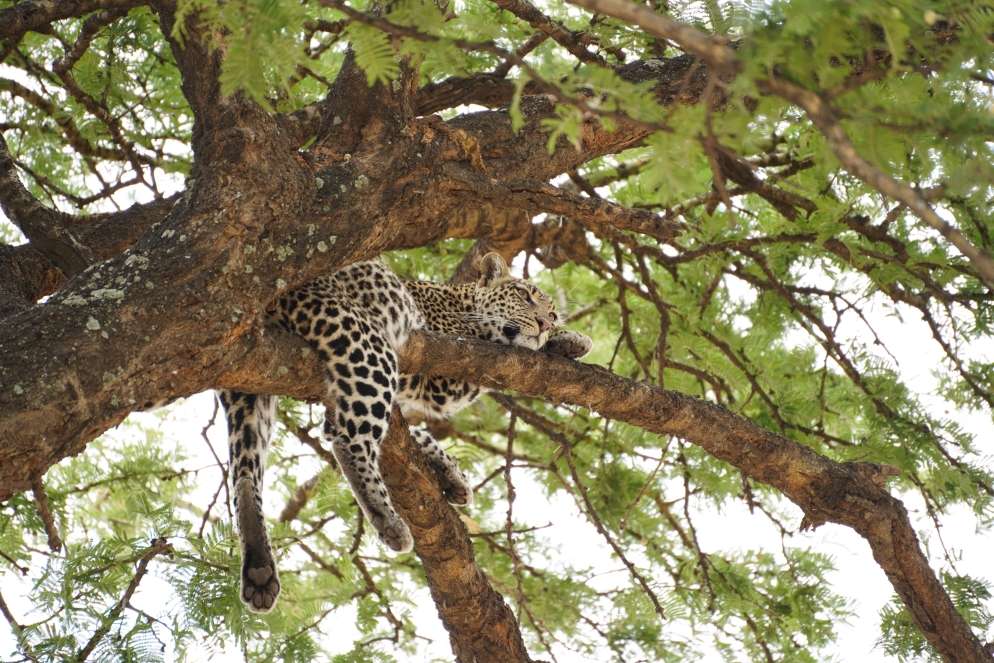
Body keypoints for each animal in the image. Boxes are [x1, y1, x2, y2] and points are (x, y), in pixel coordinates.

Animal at [217, 252, 593, 613]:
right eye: (524, 295)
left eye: (553, 312)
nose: (545, 323)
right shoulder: (448, 370)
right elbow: (502, 343)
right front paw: (569, 339)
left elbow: (411, 433)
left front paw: (449, 473)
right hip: (366, 342)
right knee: (349, 441)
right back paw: (387, 519)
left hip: (254, 391)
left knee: (246, 473)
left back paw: (259, 570)